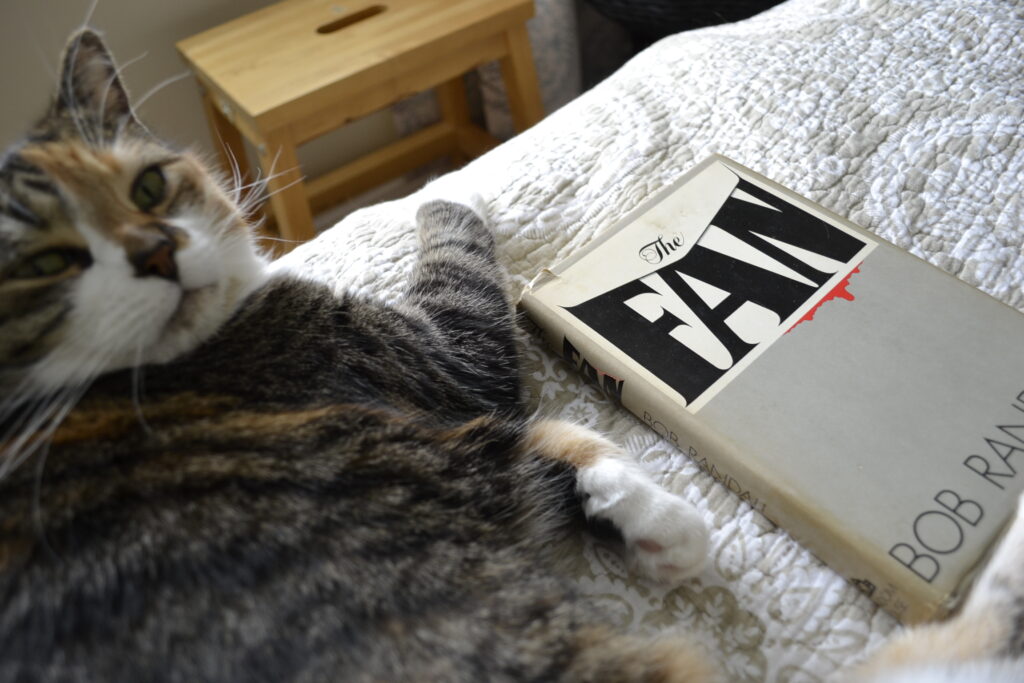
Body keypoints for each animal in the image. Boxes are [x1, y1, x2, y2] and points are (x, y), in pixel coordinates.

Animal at [2, 29, 712, 679]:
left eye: (148, 187)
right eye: (43, 263)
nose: (157, 253)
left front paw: (644, 524)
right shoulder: (424, 356)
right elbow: (457, 251)